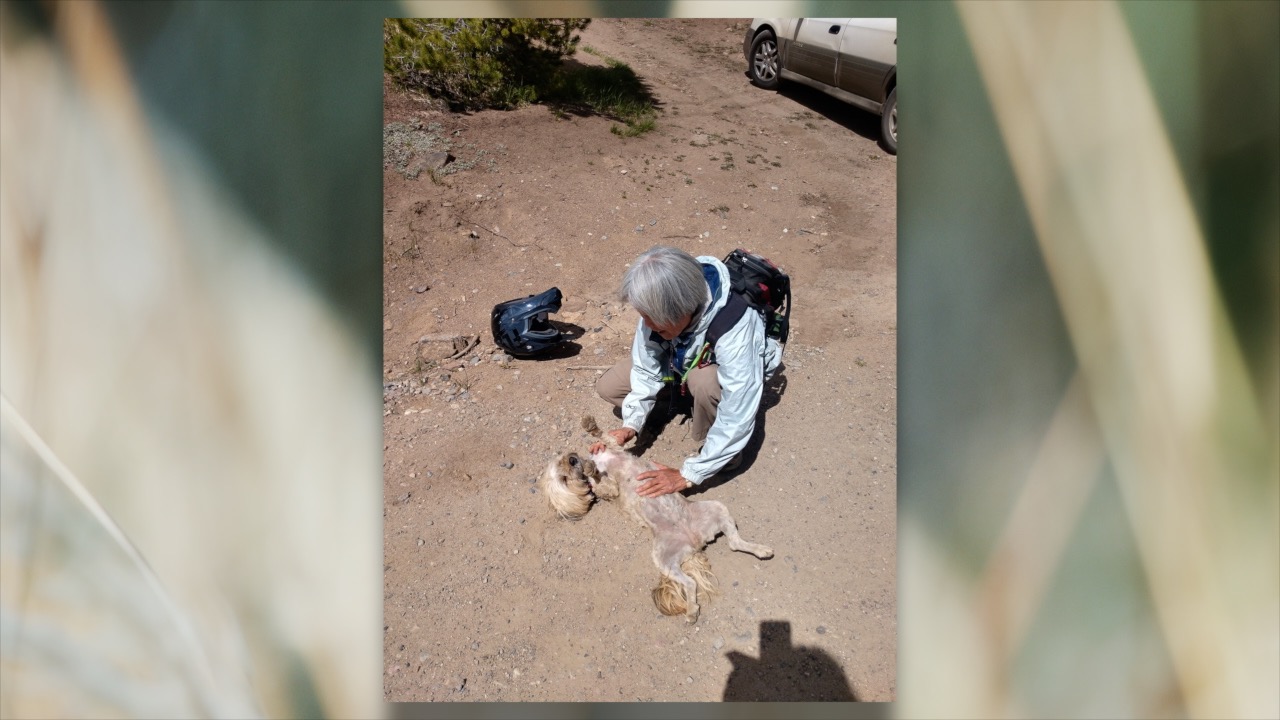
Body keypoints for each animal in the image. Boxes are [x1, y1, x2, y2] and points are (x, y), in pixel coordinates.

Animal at [537, 417, 773, 620]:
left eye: (563, 462)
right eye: (564, 479)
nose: (573, 459)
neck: (601, 462)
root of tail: (695, 541)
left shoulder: (613, 447)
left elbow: (604, 436)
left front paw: (590, 427)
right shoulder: (609, 490)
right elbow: (603, 483)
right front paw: (590, 470)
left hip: (716, 508)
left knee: (734, 543)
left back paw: (761, 550)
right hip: (664, 559)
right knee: (691, 582)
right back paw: (691, 610)